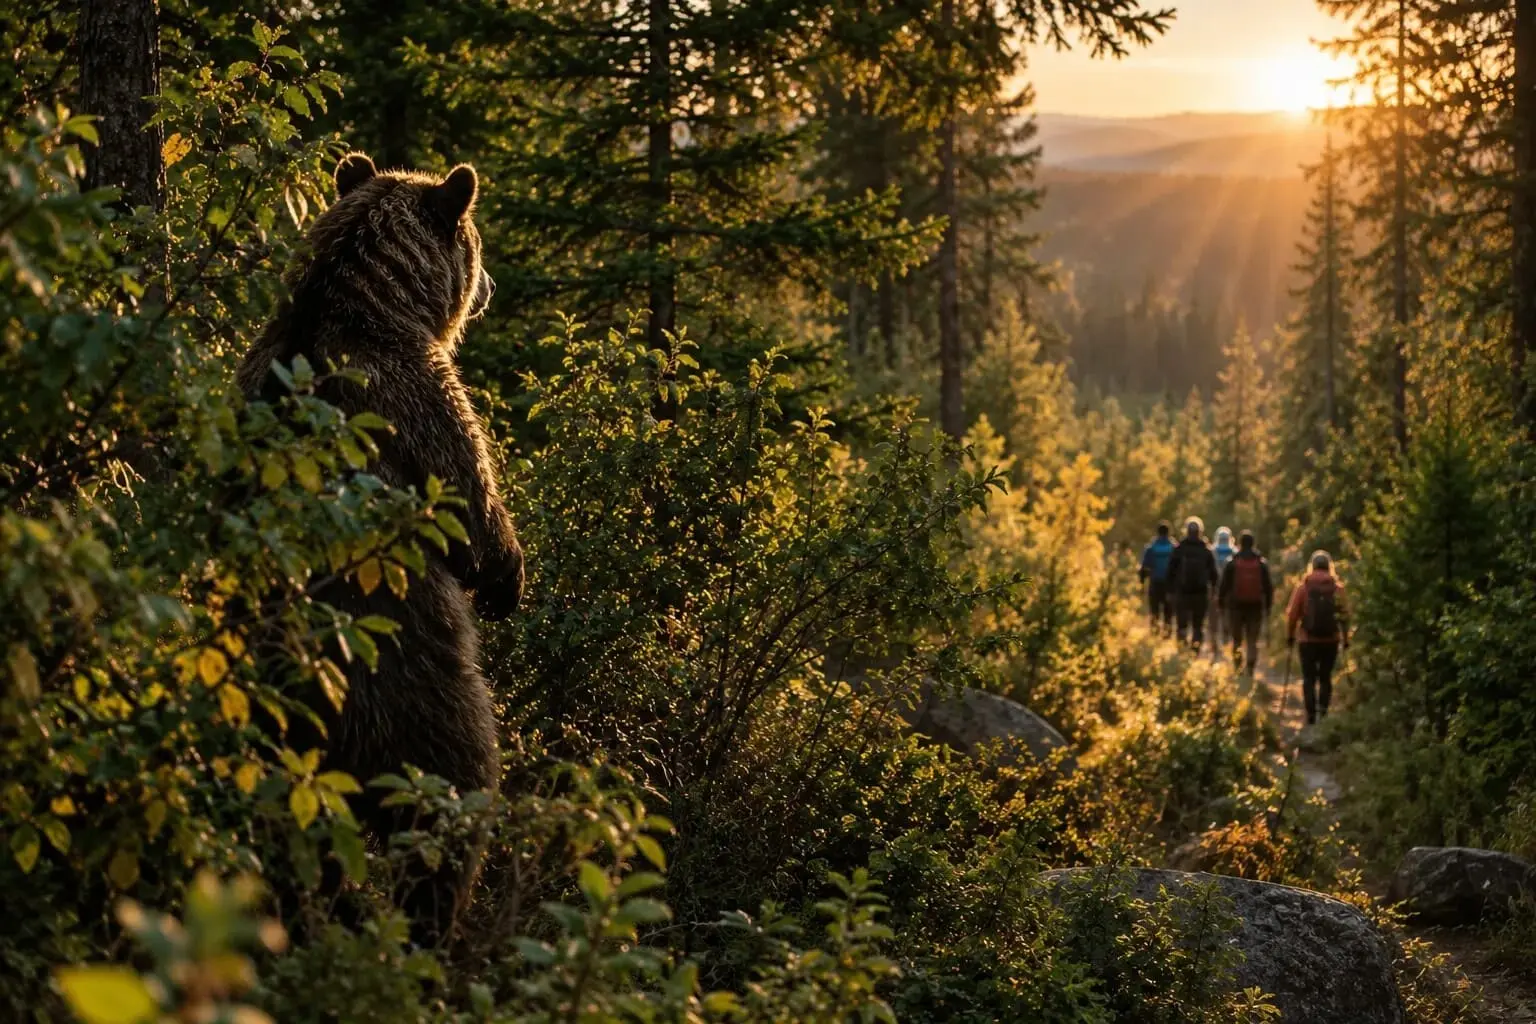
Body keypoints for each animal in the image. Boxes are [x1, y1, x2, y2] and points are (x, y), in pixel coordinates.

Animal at [236, 152, 523, 943]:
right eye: (475, 241)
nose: (489, 284)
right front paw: (507, 575)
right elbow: (469, 507)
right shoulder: (414, 401)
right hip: (417, 696)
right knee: (451, 802)